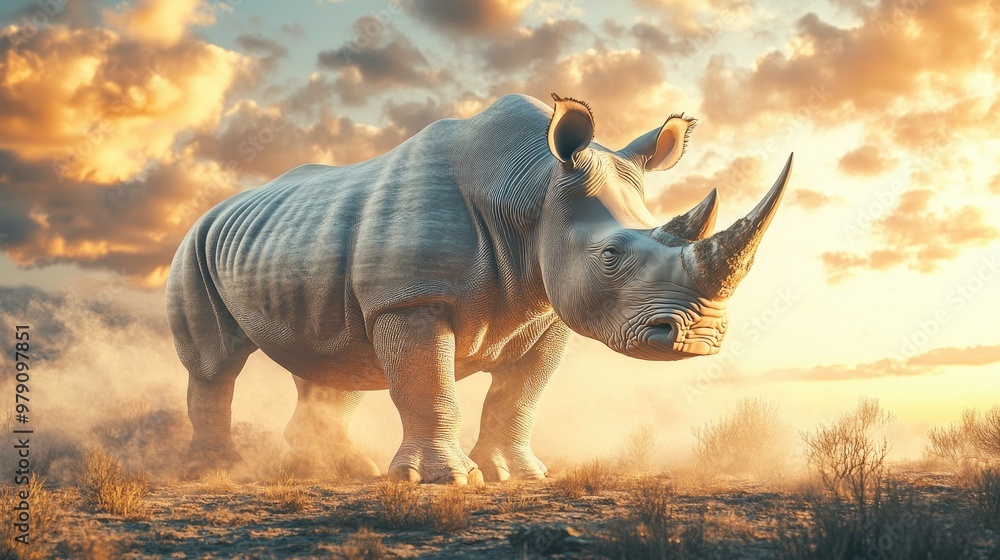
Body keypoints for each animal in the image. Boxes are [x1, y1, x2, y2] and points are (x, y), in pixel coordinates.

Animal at [166, 93, 792, 484]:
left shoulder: (548, 312)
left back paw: (338, 470)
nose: (699, 337)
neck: (533, 186)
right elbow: (429, 387)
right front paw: (442, 482)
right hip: (193, 245)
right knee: (216, 365)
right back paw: (213, 473)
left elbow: (518, 397)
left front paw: (519, 476)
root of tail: (214, 210)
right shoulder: (411, 298)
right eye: (611, 256)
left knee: (333, 363)